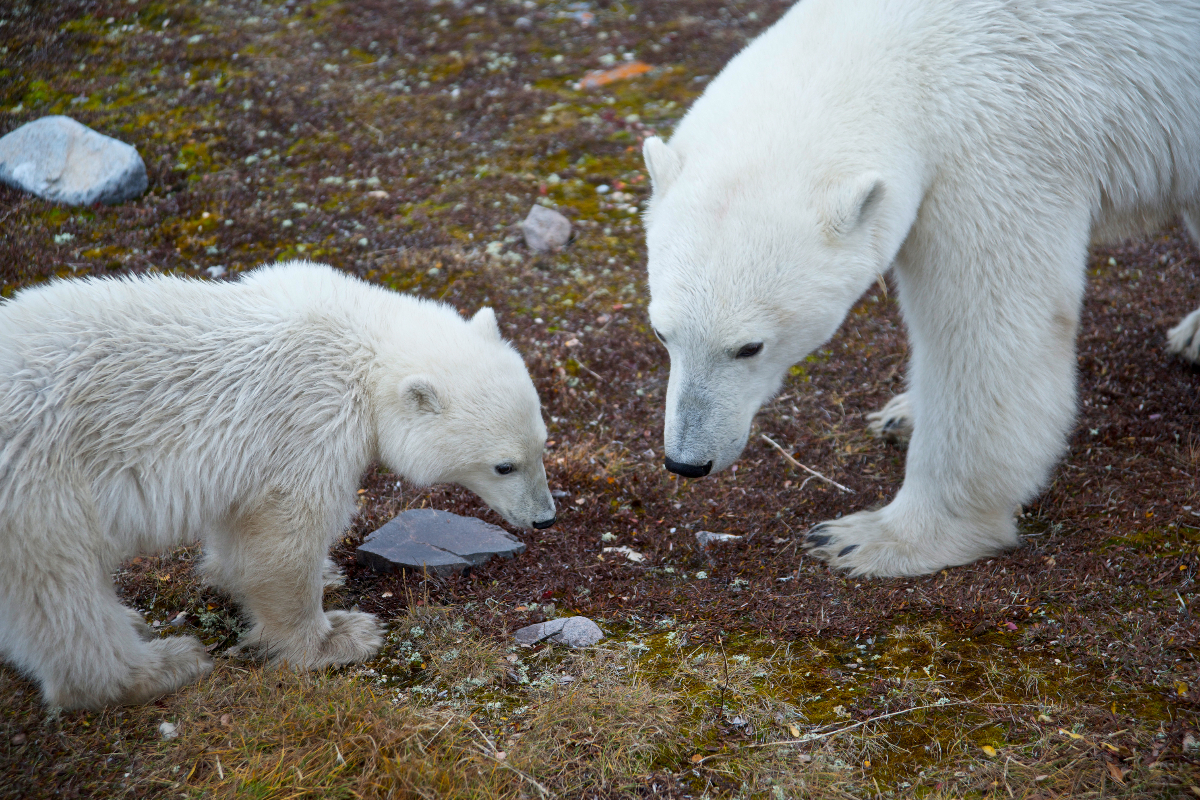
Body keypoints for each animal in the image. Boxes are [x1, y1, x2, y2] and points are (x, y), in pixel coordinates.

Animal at [0, 261, 556, 709]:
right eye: (504, 466)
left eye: (543, 445)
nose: (545, 518)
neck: (358, 340)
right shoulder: (310, 419)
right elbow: (284, 532)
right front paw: (335, 637)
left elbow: (239, 526)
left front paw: (320, 575)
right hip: (41, 484)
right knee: (61, 589)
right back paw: (158, 667)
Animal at [641, 0, 1200, 577]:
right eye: (661, 333)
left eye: (749, 347)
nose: (687, 461)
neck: (907, 48)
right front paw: (903, 415)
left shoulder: (1001, 146)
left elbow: (989, 331)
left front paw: (871, 538)